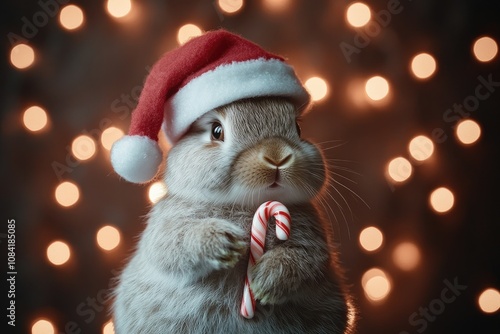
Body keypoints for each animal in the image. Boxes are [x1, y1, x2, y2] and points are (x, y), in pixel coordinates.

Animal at [111, 30, 354, 332]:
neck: (249, 204)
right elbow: (171, 245)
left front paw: (263, 283)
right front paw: (225, 242)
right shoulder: (165, 227)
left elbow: (307, 261)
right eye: (217, 131)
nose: (277, 156)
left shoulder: (314, 243)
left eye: (298, 128)